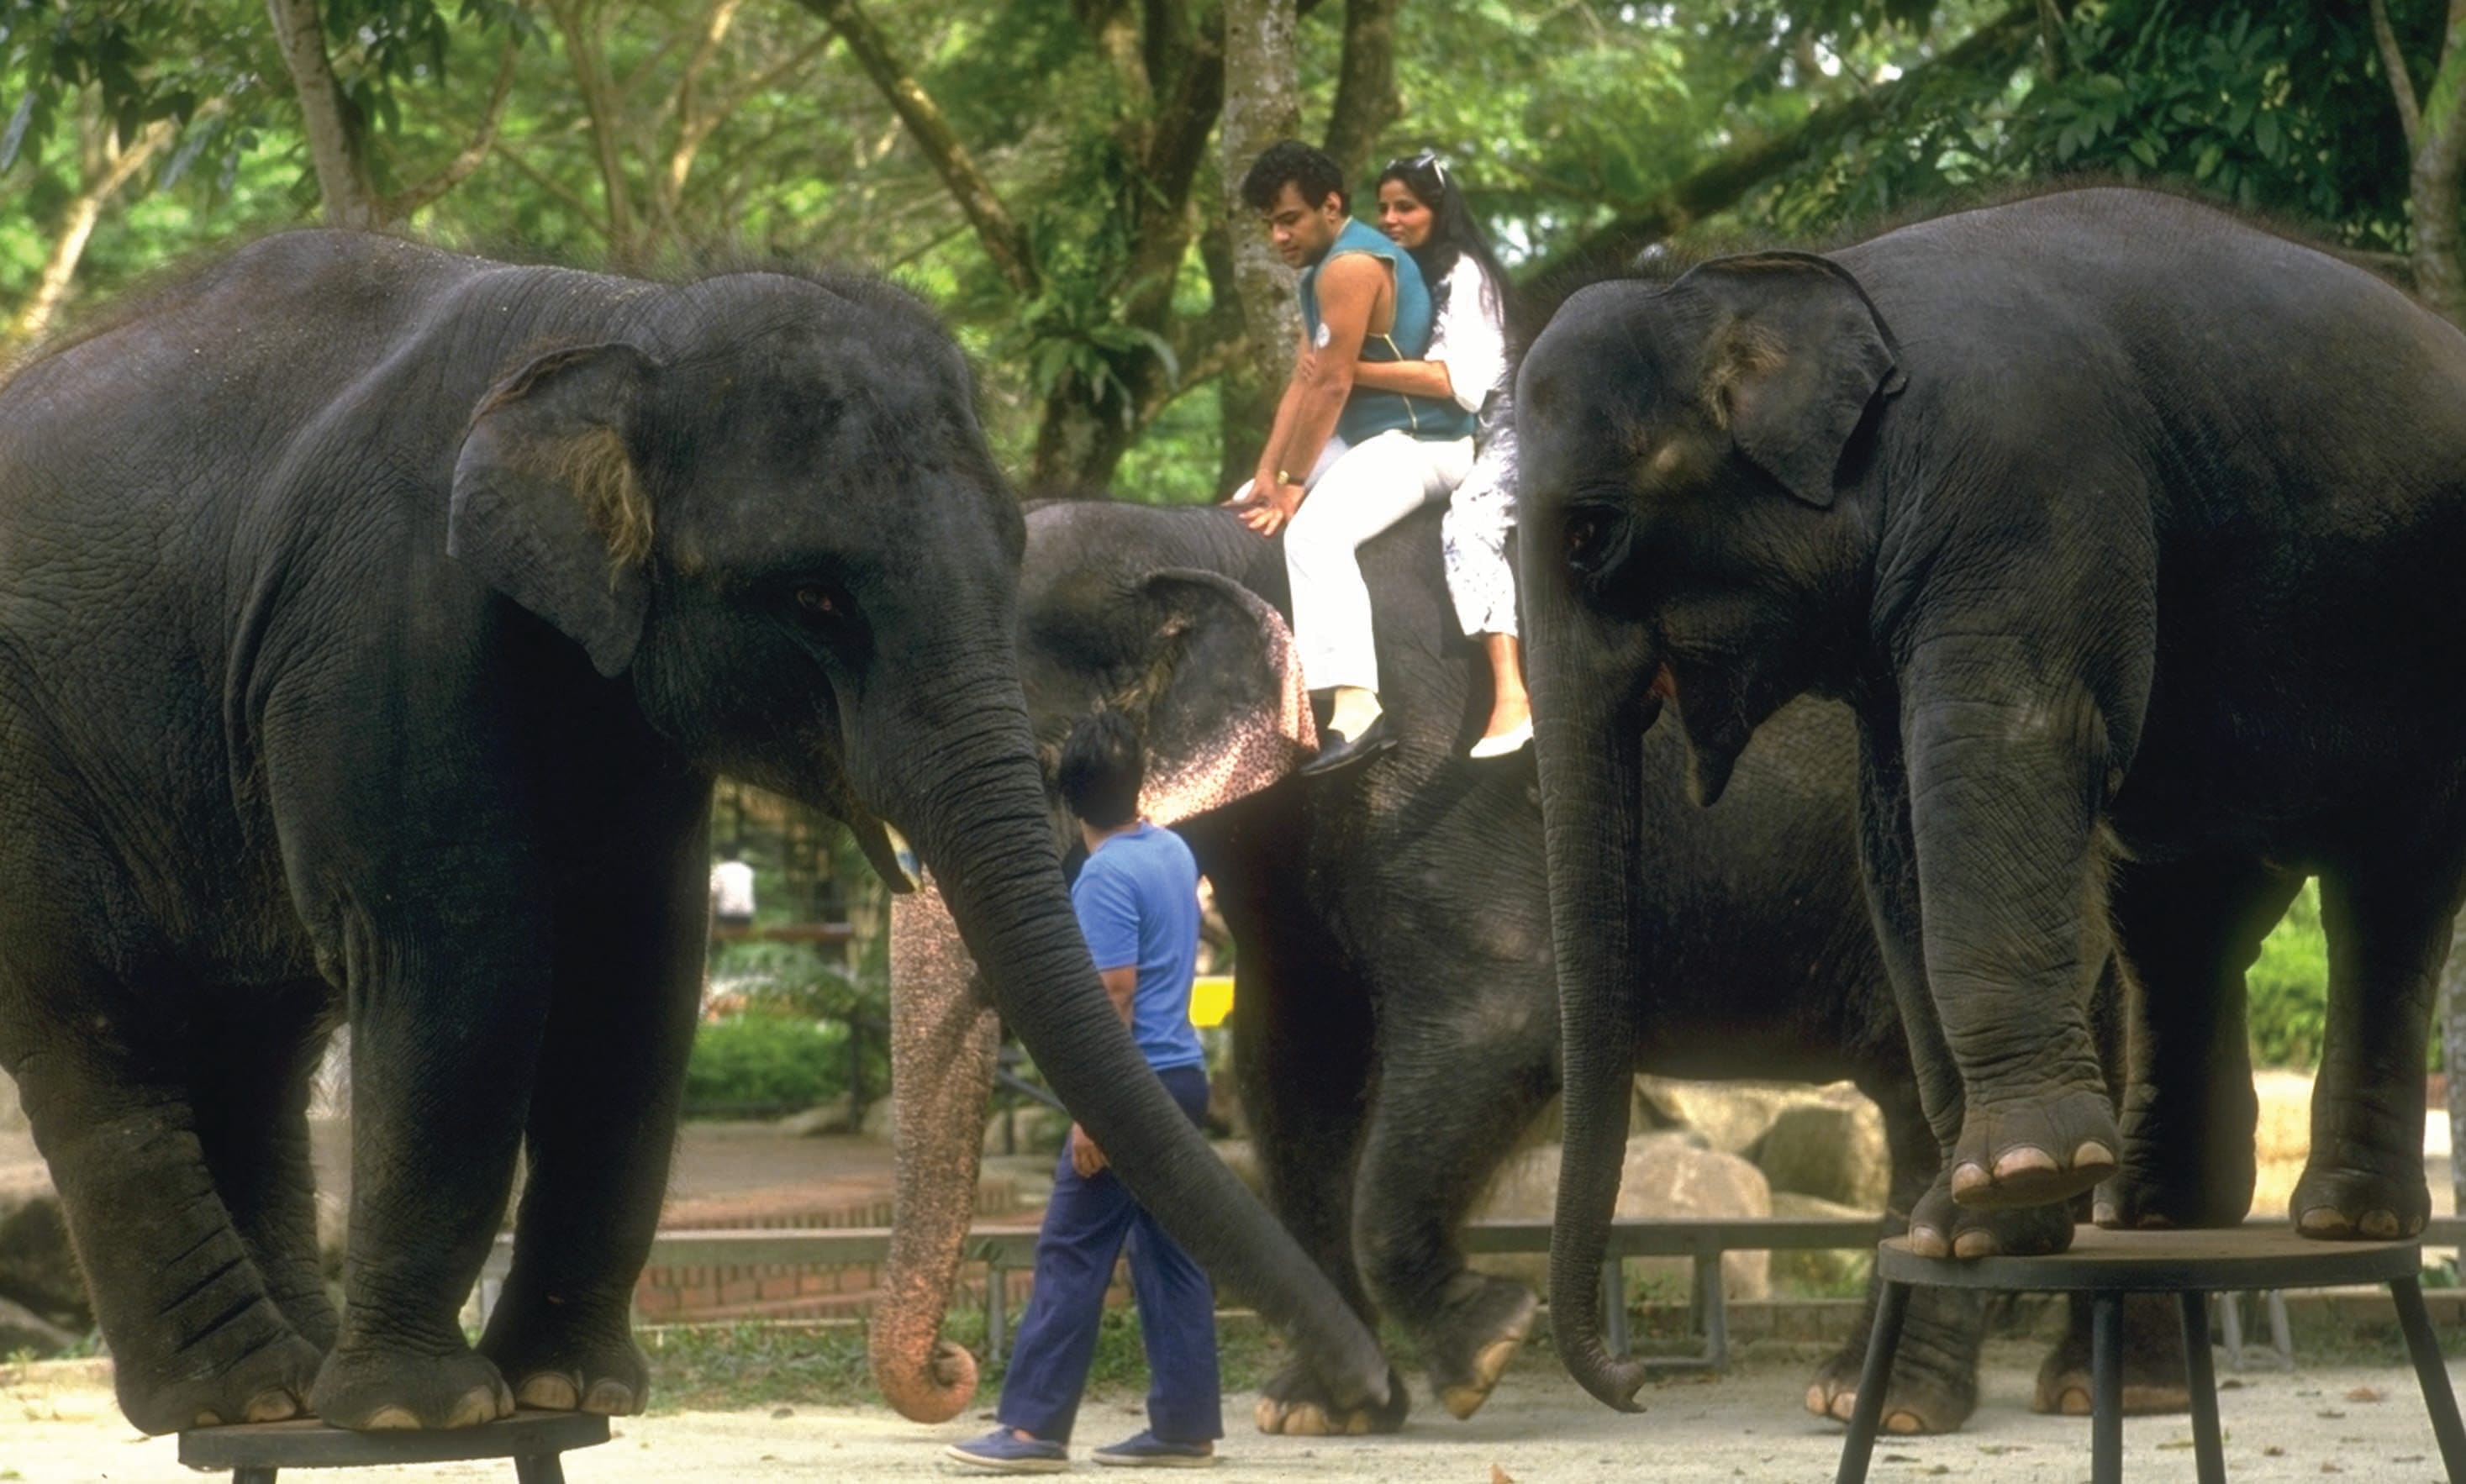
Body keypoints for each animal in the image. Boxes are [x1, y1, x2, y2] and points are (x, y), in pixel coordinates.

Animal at [0, 231, 1386, 1435]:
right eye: (815, 597)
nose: (1373, 1389)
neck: (616, 323)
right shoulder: (377, 618)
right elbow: (455, 951)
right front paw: (421, 1411)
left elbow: (636, 968)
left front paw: (573, 1392)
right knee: (96, 1032)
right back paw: (245, 1398)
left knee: (253, 1043)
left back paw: (283, 1392)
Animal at [877, 492, 2186, 1437]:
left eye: (1041, 753)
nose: (951, 1366)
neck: (1223, 537)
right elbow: (1293, 1068)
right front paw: (1322, 1414)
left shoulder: (1447, 772)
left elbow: (1496, 1024)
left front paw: (1483, 1353)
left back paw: (1913, 1401)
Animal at [1513, 185, 2466, 1410]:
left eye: (1591, 534)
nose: (1635, 1379)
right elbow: (1895, 825)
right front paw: (1969, 1224)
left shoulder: (2023, 491)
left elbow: (1995, 747)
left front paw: (2014, 1178)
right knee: (2179, 915)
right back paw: (2146, 1216)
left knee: (2384, 887)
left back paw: (2343, 1220)